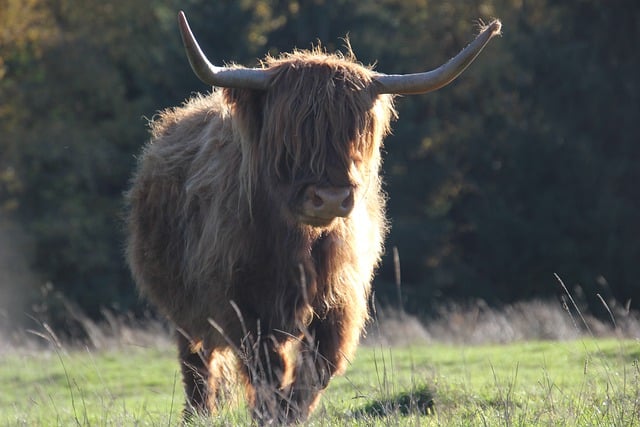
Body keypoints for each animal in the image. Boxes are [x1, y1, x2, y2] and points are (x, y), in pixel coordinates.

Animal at [126, 10, 500, 424]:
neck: (297, 245)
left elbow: (318, 368)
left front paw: (291, 412)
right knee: (197, 366)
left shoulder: (339, 301)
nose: (331, 199)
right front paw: (269, 413)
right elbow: (266, 369)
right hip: (182, 309)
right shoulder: (244, 305)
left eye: (357, 132)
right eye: (290, 133)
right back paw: (198, 414)